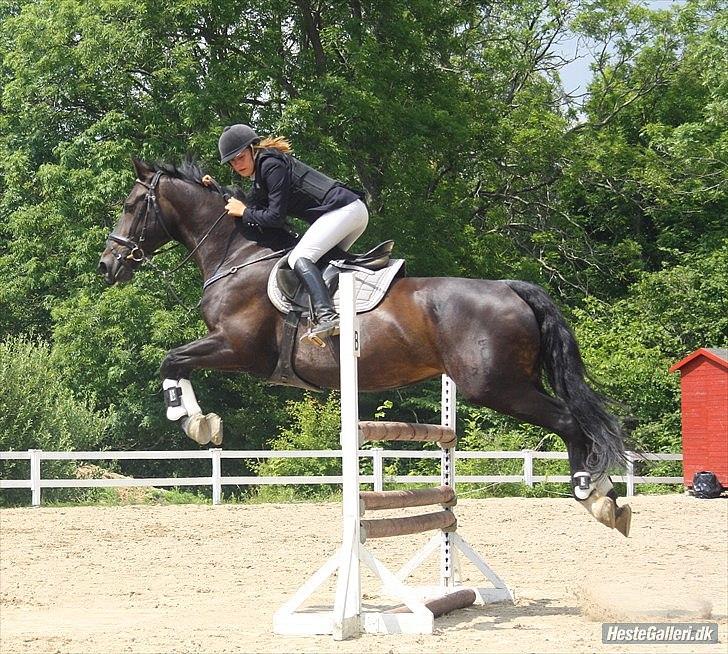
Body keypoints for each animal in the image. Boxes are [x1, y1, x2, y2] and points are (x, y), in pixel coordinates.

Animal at [96, 160, 632, 540]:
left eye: (132, 204)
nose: (107, 265)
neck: (237, 255)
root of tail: (510, 287)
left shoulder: (238, 349)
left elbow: (171, 359)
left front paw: (192, 421)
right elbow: (175, 361)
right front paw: (200, 421)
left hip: (496, 386)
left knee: (568, 419)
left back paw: (593, 494)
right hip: (514, 380)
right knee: (575, 419)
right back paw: (609, 496)